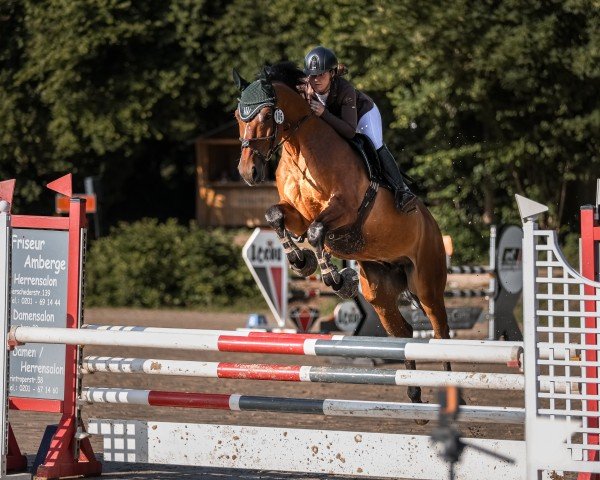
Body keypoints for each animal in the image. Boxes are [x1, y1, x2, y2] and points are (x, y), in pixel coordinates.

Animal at [232, 62, 452, 410]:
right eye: (237, 116)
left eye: (266, 116)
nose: (248, 172)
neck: (300, 150)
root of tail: (432, 224)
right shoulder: (296, 215)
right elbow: (275, 216)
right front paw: (303, 262)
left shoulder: (344, 211)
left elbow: (317, 232)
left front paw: (335, 278)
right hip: (380, 292)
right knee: (402, 334)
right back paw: (414, 394)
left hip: (427, 284)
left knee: (441, 333)